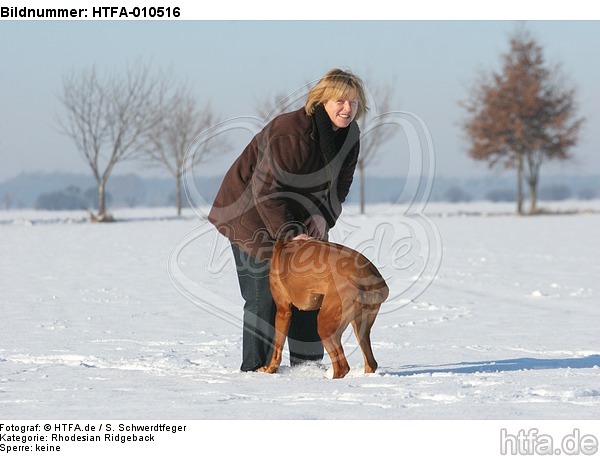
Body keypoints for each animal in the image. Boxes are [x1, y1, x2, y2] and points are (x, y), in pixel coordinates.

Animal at [258, 237, 390, 380]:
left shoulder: (283, 310)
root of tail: (371, 279)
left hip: (325, 325)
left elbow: (277, 347)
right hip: (360, 326)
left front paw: (269, 370)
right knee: (371, 363)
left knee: (342, 367)